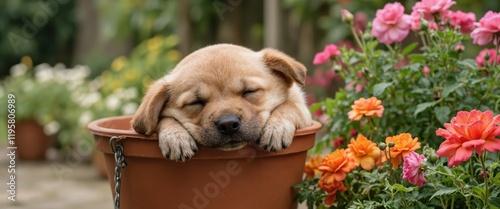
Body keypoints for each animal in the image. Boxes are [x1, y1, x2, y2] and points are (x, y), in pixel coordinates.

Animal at [133, 44, 312, 162]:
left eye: (249, 91)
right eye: (196, 102)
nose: (228, 124)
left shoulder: (304, 113)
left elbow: (289, 106)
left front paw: (276, 129)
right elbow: (165, 118)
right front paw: (175, 137)